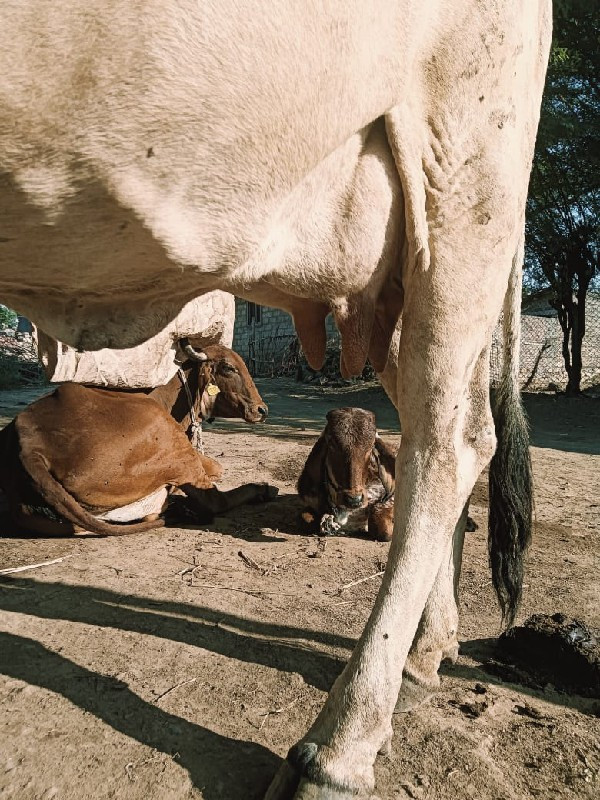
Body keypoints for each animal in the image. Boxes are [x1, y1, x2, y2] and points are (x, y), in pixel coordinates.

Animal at [0, 340, 276, 536]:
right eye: (229, 368)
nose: (262, 410)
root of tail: (29, 445)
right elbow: (217, 467)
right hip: (173, 446)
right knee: (213, 501)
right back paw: (262, 490)